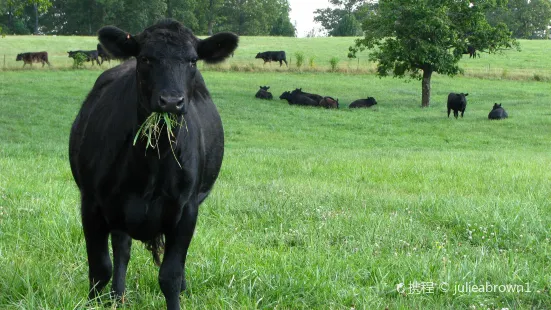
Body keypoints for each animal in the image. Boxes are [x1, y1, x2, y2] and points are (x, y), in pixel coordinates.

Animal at [68, 20, 237, 310]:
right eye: (146, 58)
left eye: (193, 60)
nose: (171, 101)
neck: (152, 164)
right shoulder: (92, 204)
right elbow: (99, 269)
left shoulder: (186, 209)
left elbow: (170, 275)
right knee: (121, 249)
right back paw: (118, 296)